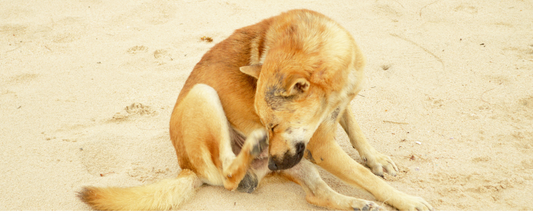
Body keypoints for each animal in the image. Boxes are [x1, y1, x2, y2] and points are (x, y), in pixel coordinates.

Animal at [78, 8, 432, 211]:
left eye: (275, 125)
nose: (272, 161)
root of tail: (186, 168)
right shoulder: (319, 147)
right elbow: (366, 177)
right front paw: (407, 201)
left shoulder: (340, 108)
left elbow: (357, 132)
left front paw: (377, 159)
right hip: (204, 96)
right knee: (227, 174)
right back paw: (250, 148)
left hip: (298, 165)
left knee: (317, 195)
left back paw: (358, 206)